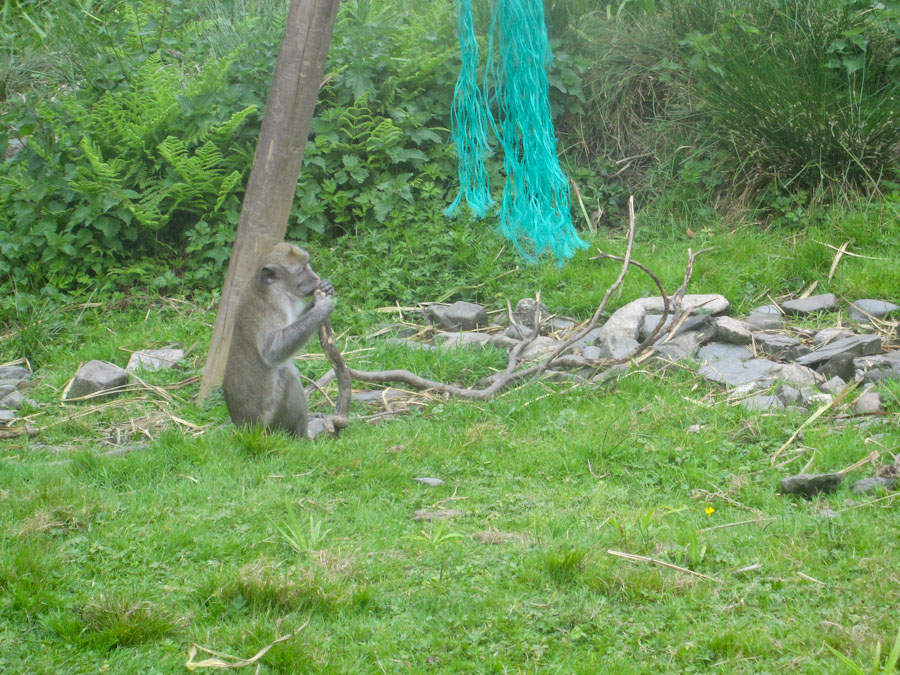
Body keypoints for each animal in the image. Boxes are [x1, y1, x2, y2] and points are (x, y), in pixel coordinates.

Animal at [223, 242, 334, 439]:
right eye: (301, 270)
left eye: (307, 264)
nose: (315, 277)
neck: (274, 289)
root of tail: (244, 427)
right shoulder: (273, 308)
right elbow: (272, 351)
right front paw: (321, 308)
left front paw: (324, 291)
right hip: (271, 423)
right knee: (288, 374)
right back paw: (305, 435)